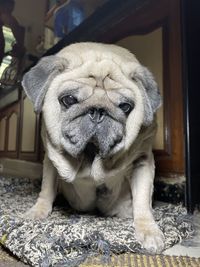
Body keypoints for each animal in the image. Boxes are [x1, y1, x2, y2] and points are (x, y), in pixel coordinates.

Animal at [22, 42, 165, 253]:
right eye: (69, 99)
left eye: (125, 107)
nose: (98, 110)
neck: (91, 155)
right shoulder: (51, 160)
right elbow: (46, 189)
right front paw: (38, 211)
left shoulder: (142, 161)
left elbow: (142, 200)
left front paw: (148, 230)